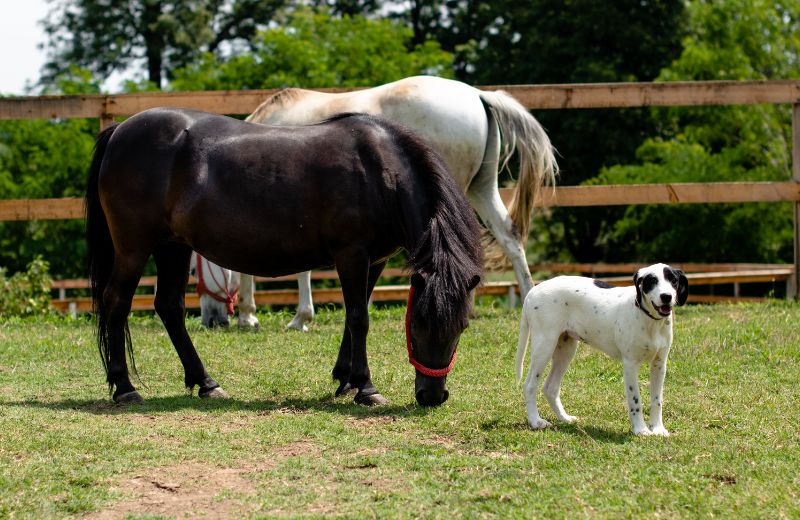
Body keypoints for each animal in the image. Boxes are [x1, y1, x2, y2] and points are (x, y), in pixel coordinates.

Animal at [85, 108, 482, 406]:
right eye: (416, 325)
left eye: (462, 326)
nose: (432, 396)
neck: (380, 170)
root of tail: (120, 130)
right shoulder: (351, 255)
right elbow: (359, 318)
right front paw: (366, 388)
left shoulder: (375, 260)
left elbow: (354, 317)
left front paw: (345, 380)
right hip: (134, 248)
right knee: (117, 302)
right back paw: (125, 388)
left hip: (173, 246)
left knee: (169, 307)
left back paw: (206, 383)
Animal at [198, 75, 556, 332]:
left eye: (195, 268)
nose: (211, 319)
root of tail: (477, 95)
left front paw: (256, 315)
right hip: (482, 189)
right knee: (510, 238)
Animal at [520, 264, 688, 434]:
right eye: (652, 281)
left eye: (673, 280)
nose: (666, 296)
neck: (649, 321)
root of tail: (533, 291)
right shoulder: (630, 365)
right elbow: (635, 401)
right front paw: (640, 430)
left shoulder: (659, 364)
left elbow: (657, 400)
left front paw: (658, 429)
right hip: (544, 345)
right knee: (529, 385)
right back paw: (535, 421)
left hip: (565, 350)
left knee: (550, 387)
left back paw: (564, 418)